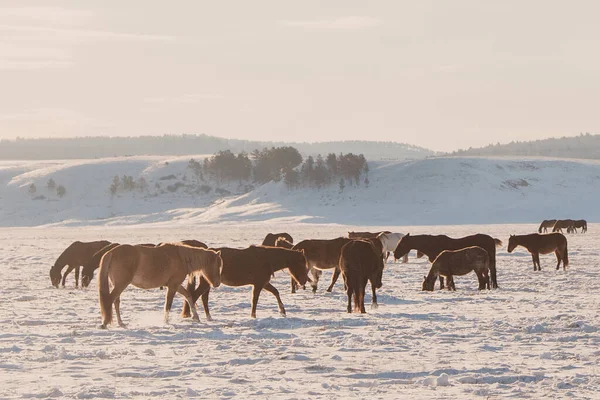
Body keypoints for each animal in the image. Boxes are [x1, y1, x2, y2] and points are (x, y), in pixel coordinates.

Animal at [180, 245, 308, 320]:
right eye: (301, 263)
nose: (304, 280)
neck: (267, 259)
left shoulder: (264, 283)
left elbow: (275, 292)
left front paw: (282, 311)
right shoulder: (259, 284)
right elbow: (255, 300)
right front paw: (253, 316)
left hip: (208, 284)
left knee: (203, 298)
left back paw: (208, 317)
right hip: (206, 284)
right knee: (195, 296)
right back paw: (194, 316)